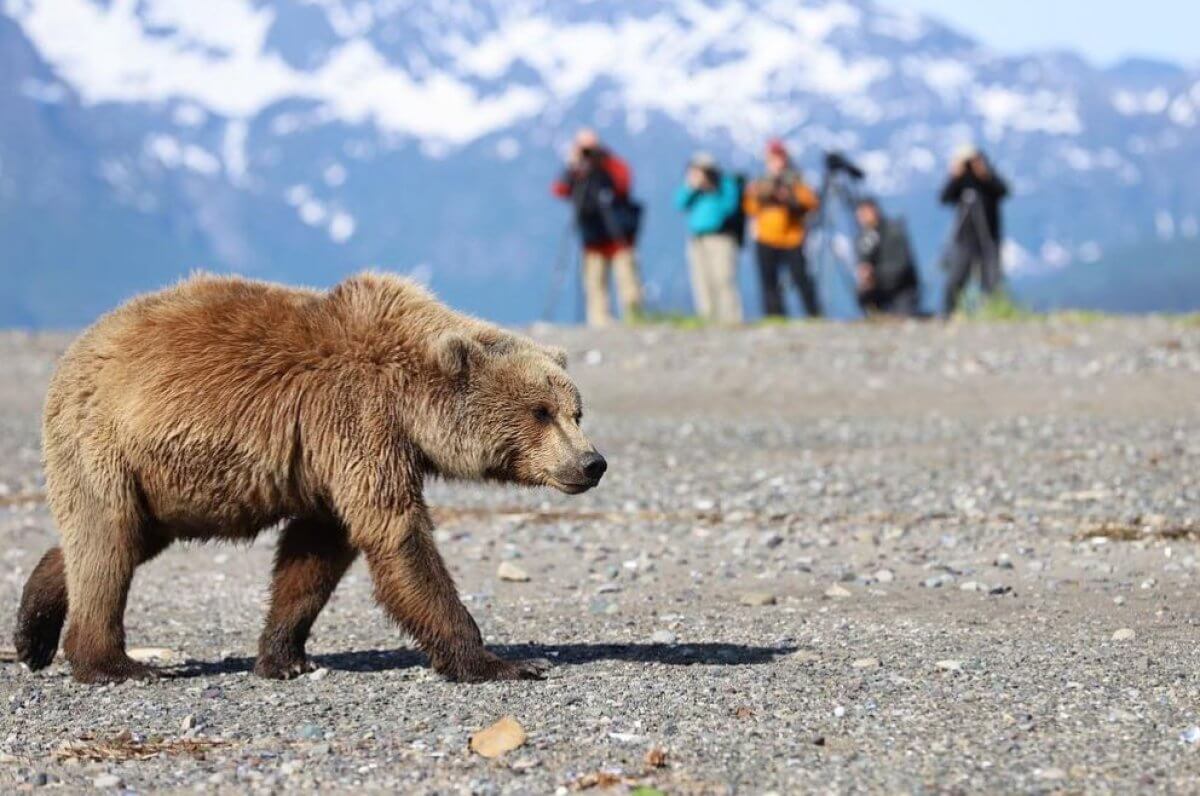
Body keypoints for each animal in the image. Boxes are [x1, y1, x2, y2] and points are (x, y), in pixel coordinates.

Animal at [14, 272, 604, 686]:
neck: (411, 397)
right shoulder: (358, 418)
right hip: (106, 443)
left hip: (162, 485)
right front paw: (498, 661)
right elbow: (397, 535)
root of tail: (77, 348)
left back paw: (31, 630)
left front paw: (284, 655)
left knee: (116, 539)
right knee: (107, 541)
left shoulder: (330, 457)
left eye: (576, 411)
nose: (592, 463)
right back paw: (114, 663)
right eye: (540, 412)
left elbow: (315, 552)